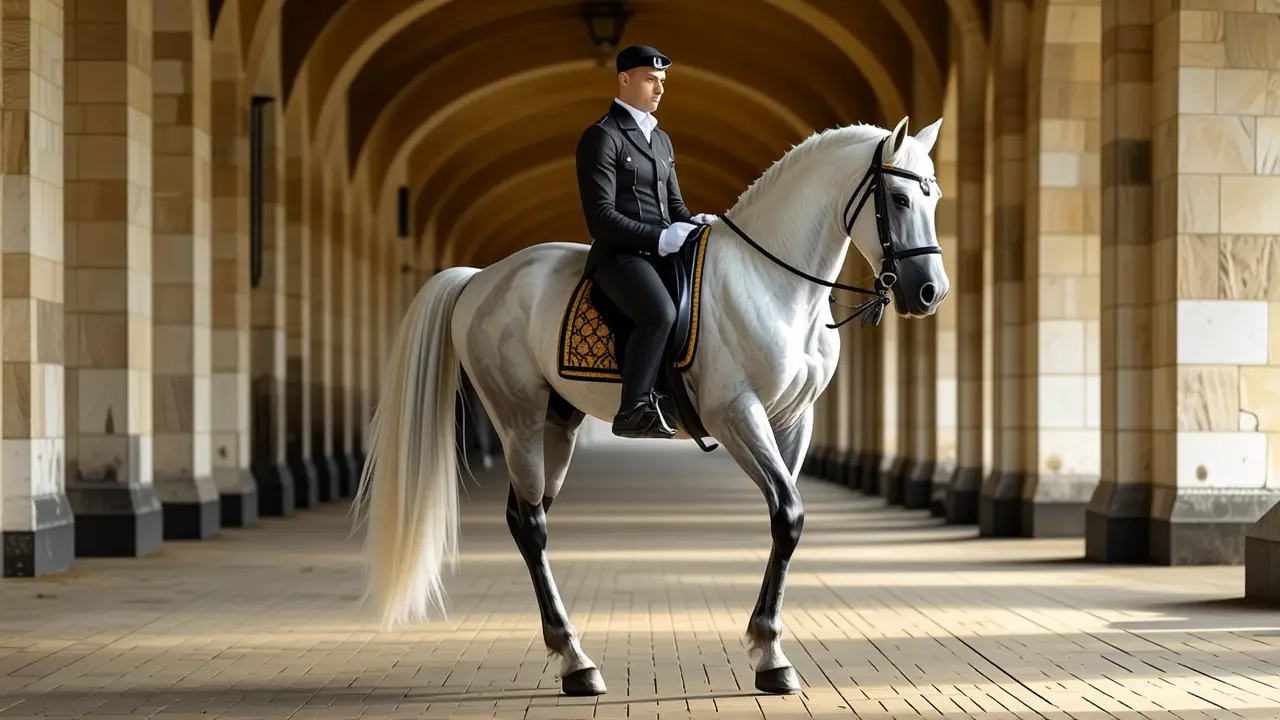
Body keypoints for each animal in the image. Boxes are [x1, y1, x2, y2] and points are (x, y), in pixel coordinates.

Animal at [352, 115, 949, 697]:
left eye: (936, 198)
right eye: (899, 199)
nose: (930, 293)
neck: (772, 284)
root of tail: (480, 278)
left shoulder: (793, 421)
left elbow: (787, 522)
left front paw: (770, 653)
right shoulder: (737, 414)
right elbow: (788, 512)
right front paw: (768, 651)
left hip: (555, 422)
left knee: (528, 514)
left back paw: (570, 655)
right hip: (516, 414)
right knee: (532, 525)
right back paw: (575, 662)